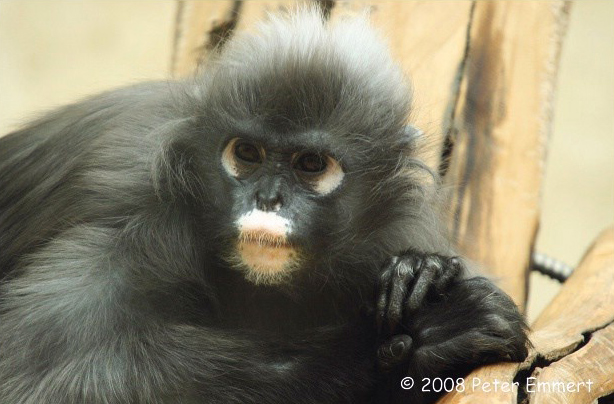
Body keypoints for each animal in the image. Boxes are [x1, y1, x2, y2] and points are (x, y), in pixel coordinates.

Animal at [0, 7, 528, 404]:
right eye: (247, 154)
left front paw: (420, 274)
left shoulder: (394, 229)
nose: (268, 198)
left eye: (310, 164)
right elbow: (31, 381)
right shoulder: (134, 219)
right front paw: (406, 345)